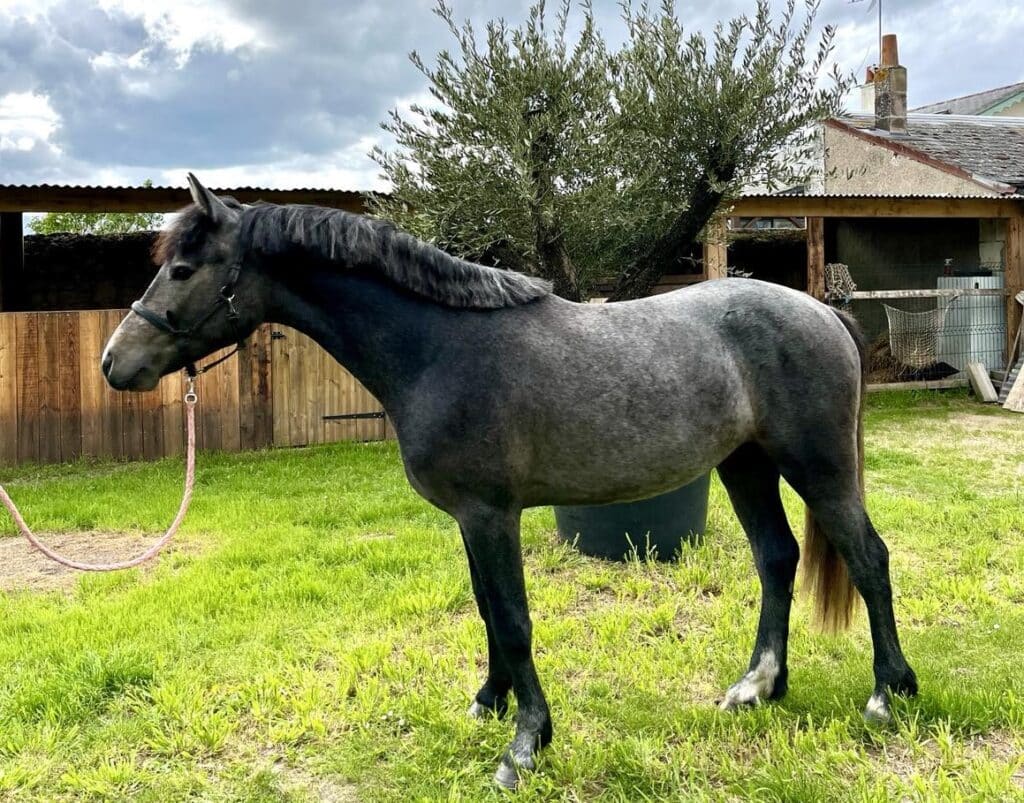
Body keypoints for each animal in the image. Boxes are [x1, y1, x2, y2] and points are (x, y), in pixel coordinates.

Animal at [102, 175, 917, 789]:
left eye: (182, 269)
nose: (116, 361)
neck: (440, 347)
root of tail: (822, 313)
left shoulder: (493, 514)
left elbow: (516, 621)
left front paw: (525, 744)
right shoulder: (470, 518)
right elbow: (489, 611)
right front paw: (488, 703)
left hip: (818, 468)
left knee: (868, 558)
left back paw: (888, 692)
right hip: (745, 465)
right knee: (777, 559)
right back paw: (758, 686)